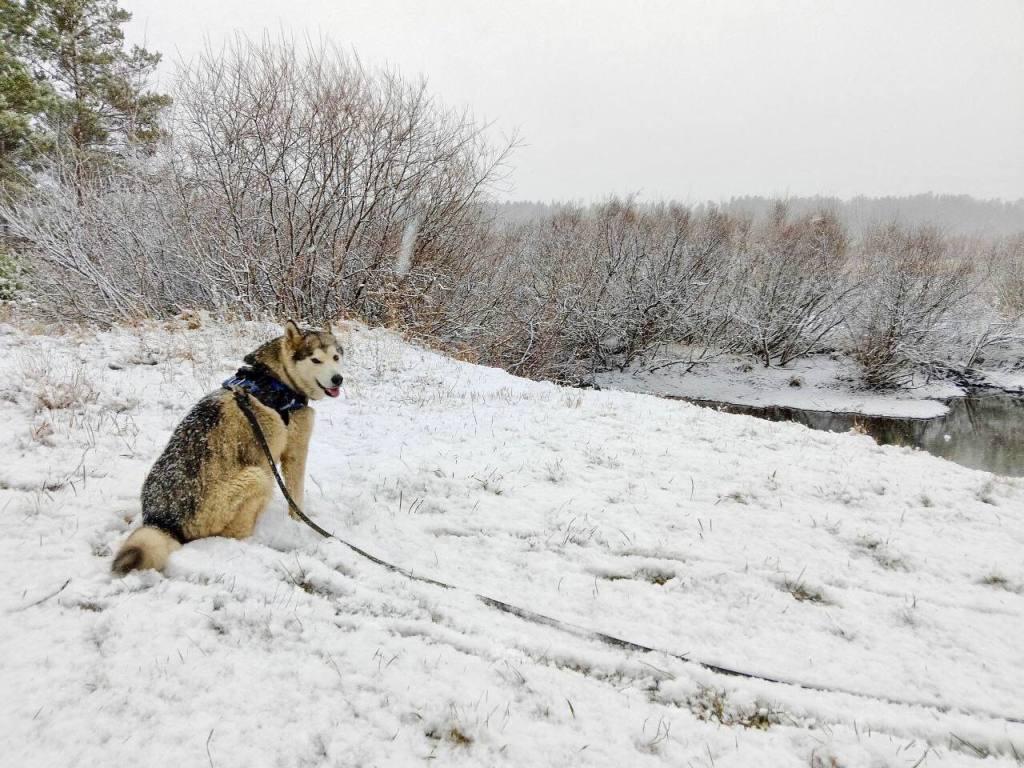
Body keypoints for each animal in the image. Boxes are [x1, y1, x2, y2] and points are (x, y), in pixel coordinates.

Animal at [112, 319, 344, 577]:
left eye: (335, 357)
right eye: (315, 360)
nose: (338, 379)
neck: (277, 380)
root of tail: (161, 523)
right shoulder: (294, 452)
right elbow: (296, 499)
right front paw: (299, 523)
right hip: (257, 476)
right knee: (235, 532)